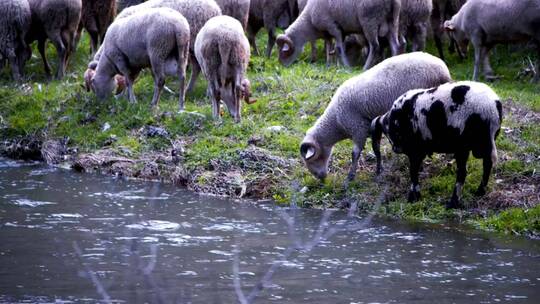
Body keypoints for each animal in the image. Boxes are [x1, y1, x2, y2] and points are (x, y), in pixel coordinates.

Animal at [300, 51, 452, 183]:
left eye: (312, 159)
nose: (321, 178)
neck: (336, 122)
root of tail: (443, 70)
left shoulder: (358, 129)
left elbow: (355, 154)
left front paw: (350, 176)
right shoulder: (372, 128)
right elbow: (376, 149)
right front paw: (379, 170)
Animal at [372, 81, 502, 209]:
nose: (395, 148)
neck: (392, 121)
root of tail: (492, 106)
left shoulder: (415, 150)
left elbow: (413, 171)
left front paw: (414, 197)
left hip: (464, 144)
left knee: (463, 172)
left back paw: (453, 203)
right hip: (483, 143)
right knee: (487, 165)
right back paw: (480, 192)